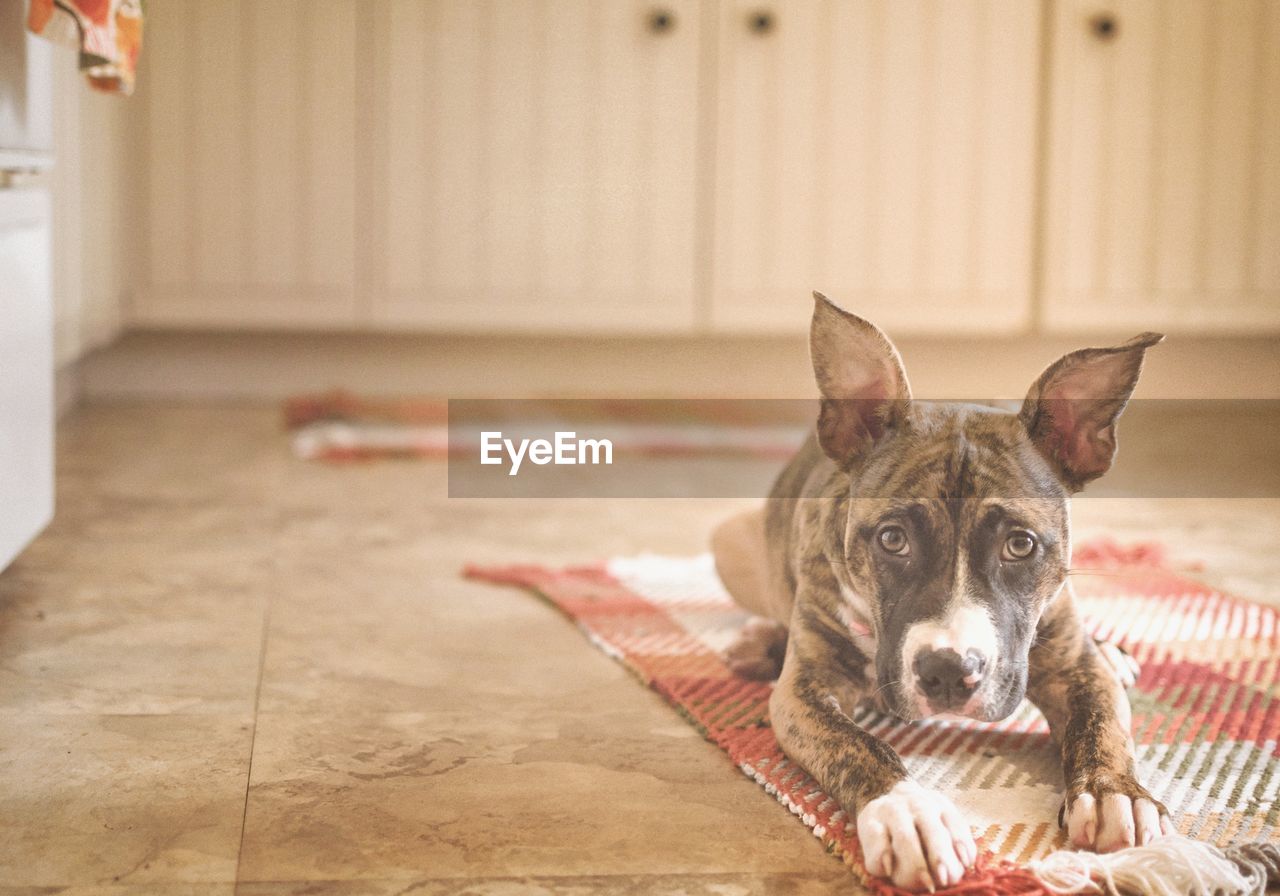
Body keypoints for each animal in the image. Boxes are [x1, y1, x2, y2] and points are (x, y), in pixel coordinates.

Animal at [711, 291, 1172, 890]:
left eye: (1020, 545)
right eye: (892, 539)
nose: (949, 672)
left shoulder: (1074, 666)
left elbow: (1103, 722)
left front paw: (1114, 792)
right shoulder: (805, 692)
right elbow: (858, 746)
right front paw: (909, 811)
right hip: (730, 542)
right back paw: (756, 641)